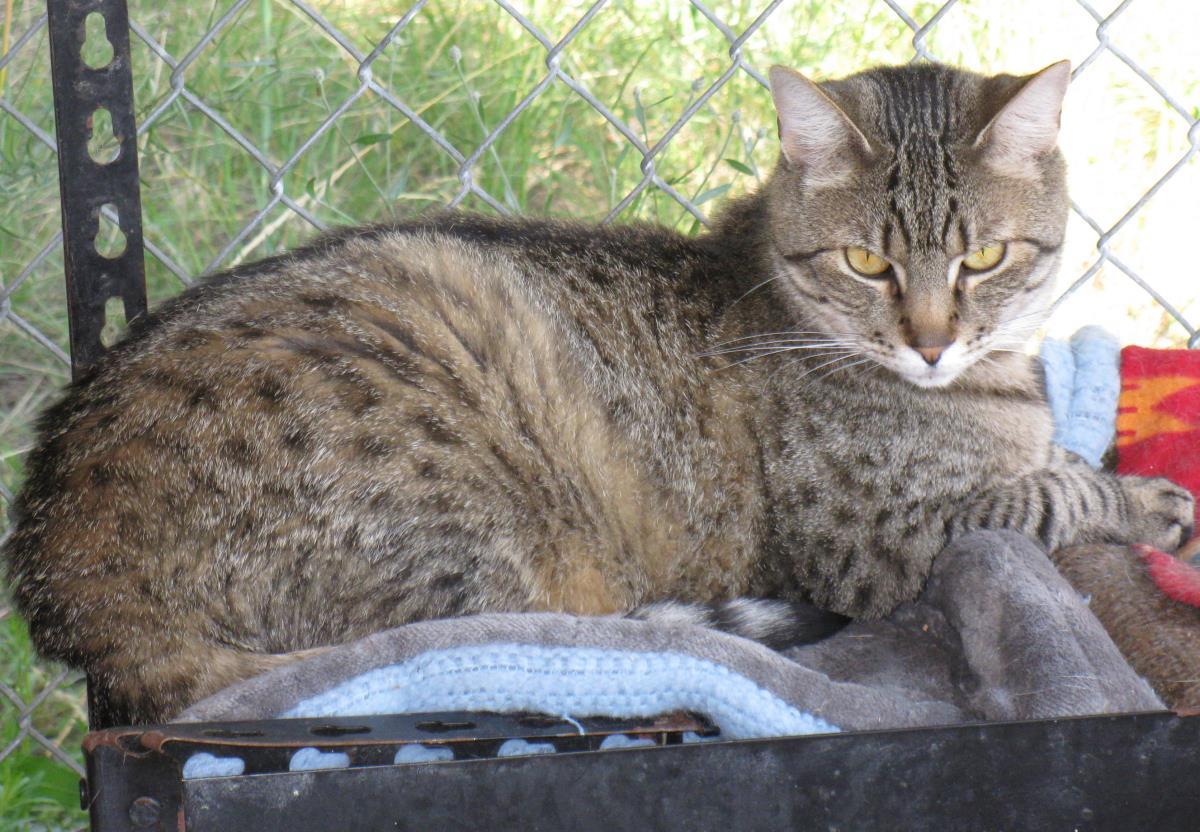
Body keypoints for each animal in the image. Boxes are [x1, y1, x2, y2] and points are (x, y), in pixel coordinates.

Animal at [7, 61, 1190, 720]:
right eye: (868, 264)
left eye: (985, 258)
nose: (934, 343)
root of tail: (68, 576)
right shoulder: (880, 540)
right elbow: (1049, 495)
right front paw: (1146, 502)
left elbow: (1051, 462)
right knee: (503, 627)